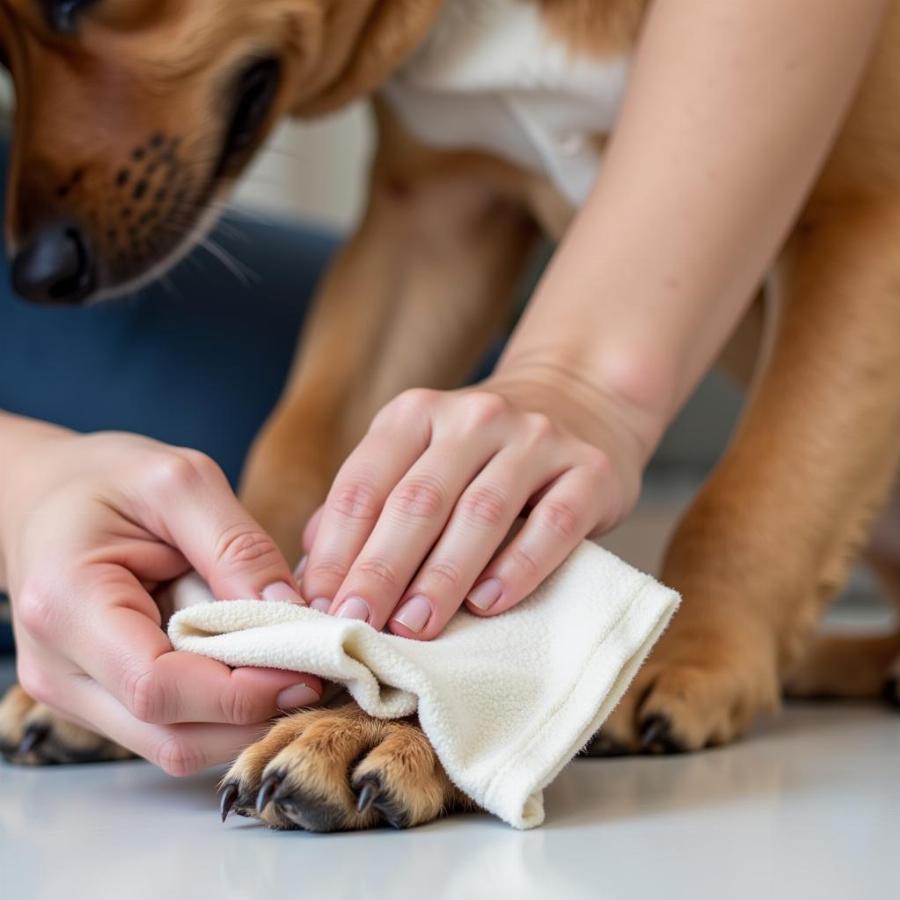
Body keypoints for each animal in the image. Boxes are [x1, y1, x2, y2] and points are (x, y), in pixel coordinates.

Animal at [1, 0, 900, 828]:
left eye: (76, 6)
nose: (36, 273)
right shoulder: (430, 218)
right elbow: (301, 444)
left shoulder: (860, 218)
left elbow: (757, 492)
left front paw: (375, 727)